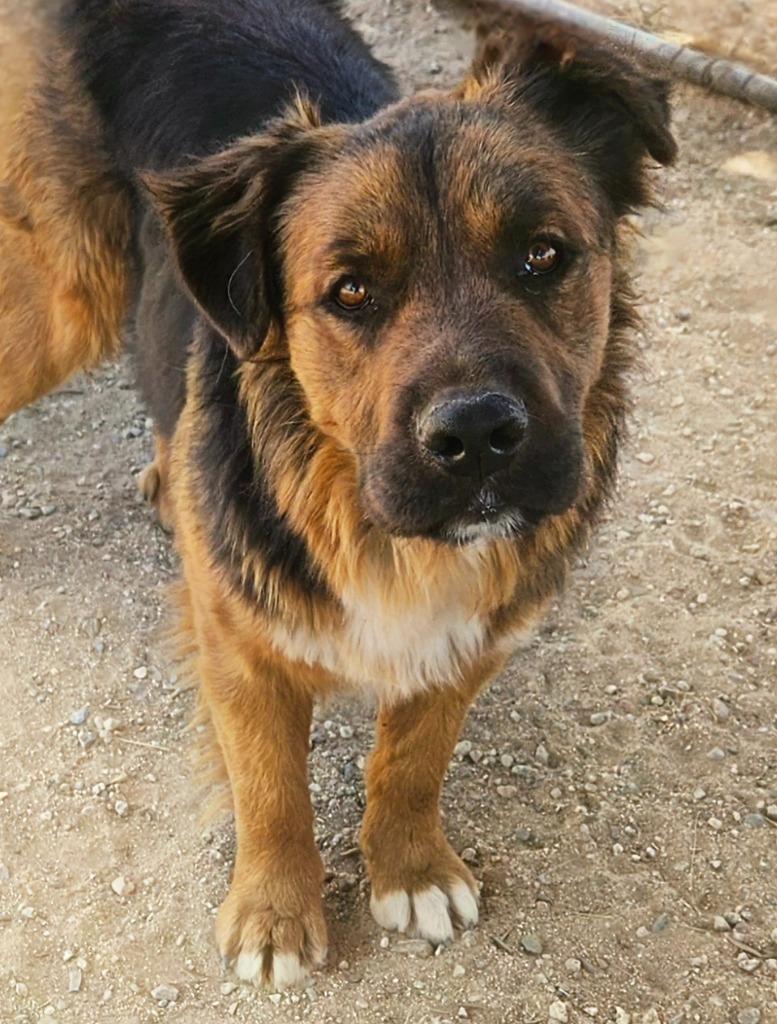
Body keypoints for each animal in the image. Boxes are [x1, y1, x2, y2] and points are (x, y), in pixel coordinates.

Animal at [0, 0, 675, 991]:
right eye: (351, 290)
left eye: (542, 255)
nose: (477, 436)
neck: (377, 528)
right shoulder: (241, 651)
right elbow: (270, 787)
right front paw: (275, 913)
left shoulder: (466, 640)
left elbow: (412, 763)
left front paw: (411, 868)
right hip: (66, 292)